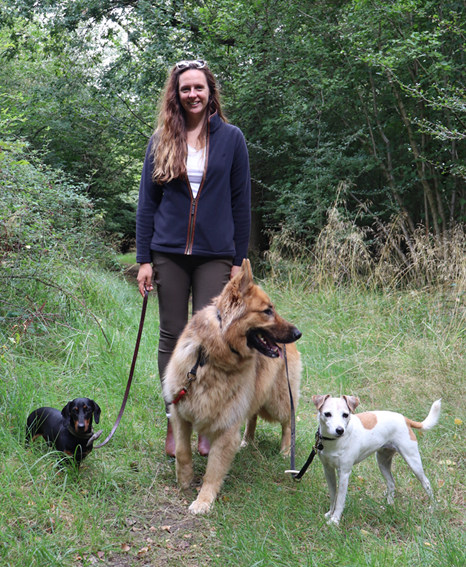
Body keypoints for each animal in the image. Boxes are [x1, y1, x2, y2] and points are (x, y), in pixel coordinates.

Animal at [164, 260, 302, 516]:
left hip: (276, 402)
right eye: (267, 311)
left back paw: (286, 451)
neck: (210, 358)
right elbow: (182, 452)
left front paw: (204, 500)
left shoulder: (226, 429)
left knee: (289, 421)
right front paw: (184, 481)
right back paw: (248, 440)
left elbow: (213, 470)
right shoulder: (180, 414)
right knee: (253, 416)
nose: (298, 333)